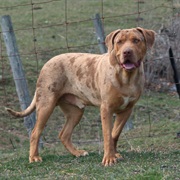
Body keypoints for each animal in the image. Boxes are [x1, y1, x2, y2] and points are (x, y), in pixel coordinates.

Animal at [5, 26, 155, 166]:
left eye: (136, 40)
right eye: (120, 42)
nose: (127, 51)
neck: (126, 77)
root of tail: (48, 62)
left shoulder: (126, 110)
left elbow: (115, 134)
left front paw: (114, 154)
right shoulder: (106, 109)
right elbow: (107, 135)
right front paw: (109, 158)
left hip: (75, 111)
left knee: (64, 134)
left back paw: (77, 153)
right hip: (46, 105)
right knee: (35, 132)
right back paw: (34, 157)